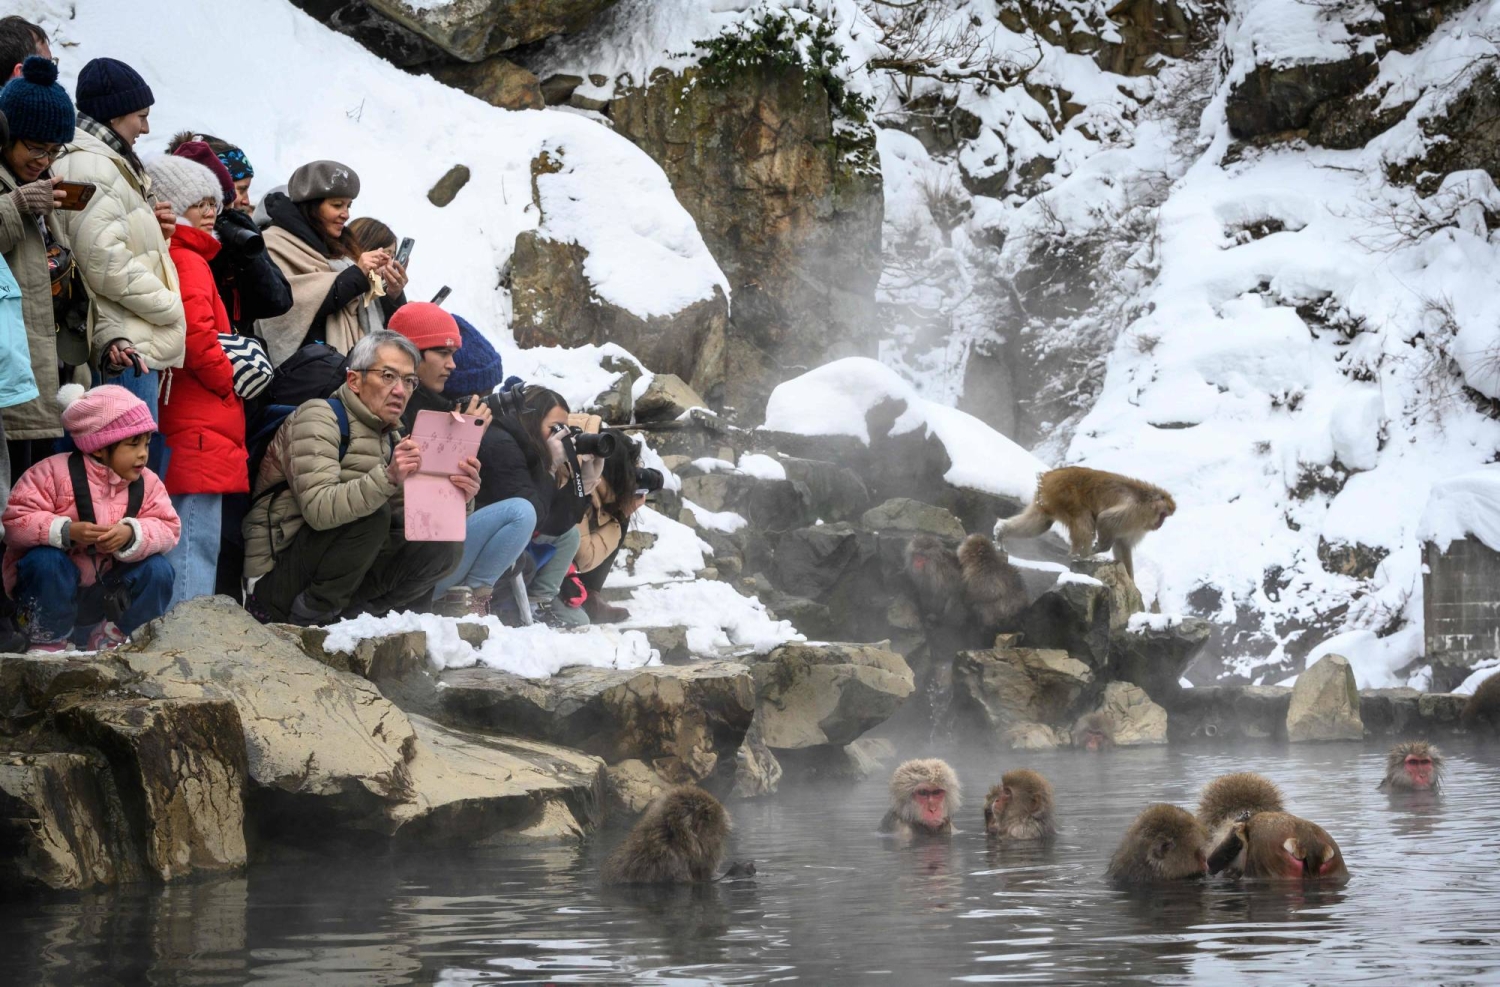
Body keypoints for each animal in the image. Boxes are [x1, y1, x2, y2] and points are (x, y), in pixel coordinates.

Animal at [998, 466, 1176, 578]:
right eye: (1163, 515)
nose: (1160, 524)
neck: (1146, 499)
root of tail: (1049, 476)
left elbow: (1122, 545)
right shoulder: (1136, 511)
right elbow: (1106, 519)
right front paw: (1100, 548)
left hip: (1048, 498)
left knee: (1041, 522)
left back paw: (1001, 531)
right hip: (1064, 493)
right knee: (1083, 519)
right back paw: (1084, 557)